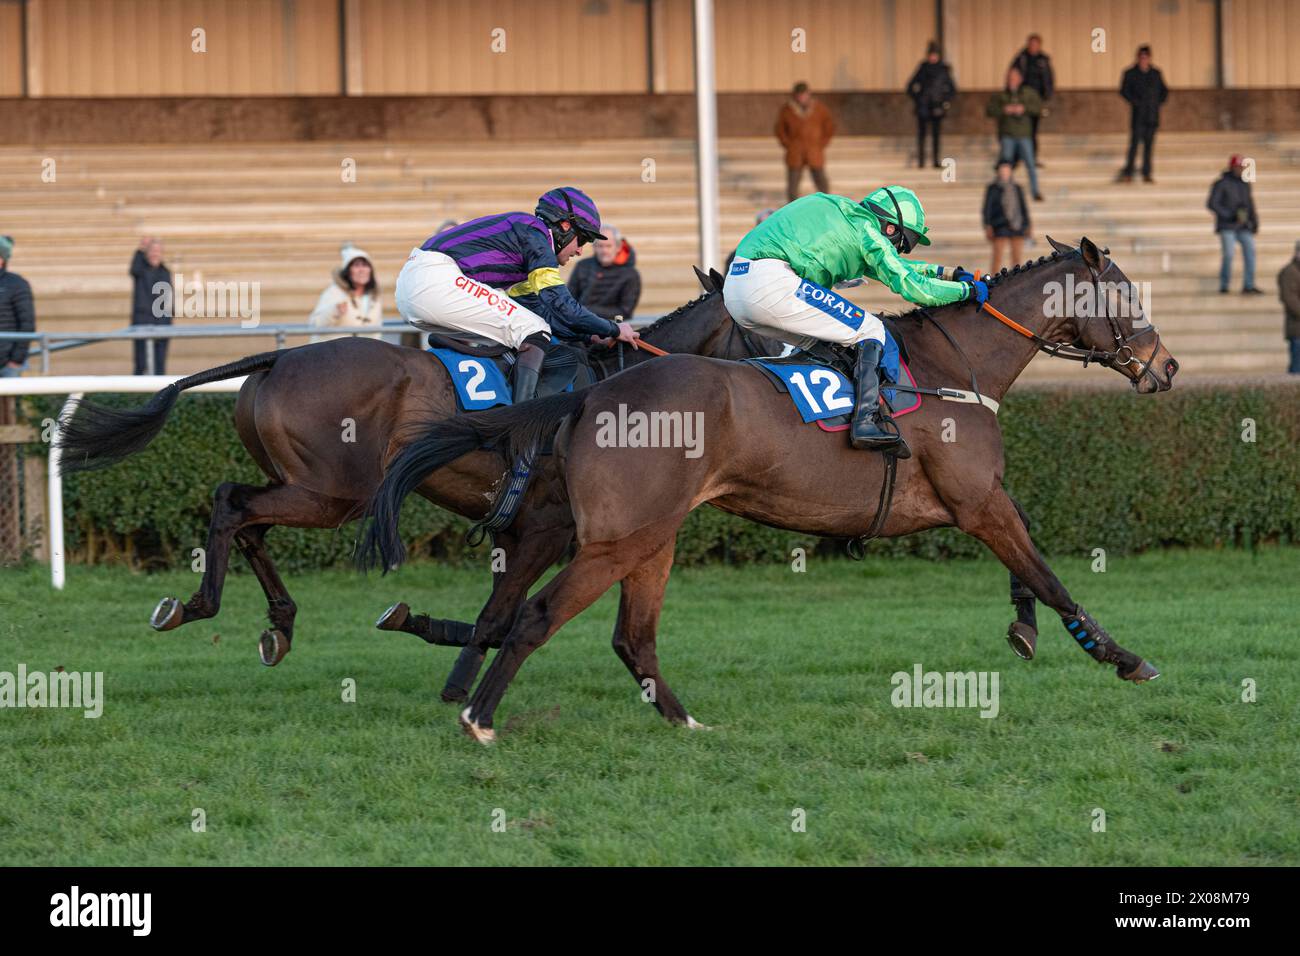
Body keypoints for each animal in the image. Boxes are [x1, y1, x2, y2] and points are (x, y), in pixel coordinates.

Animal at [55, 277, 774, 665]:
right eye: (762, 328)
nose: (782, 382)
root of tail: (277, 358)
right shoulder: (550, 526)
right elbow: (499, 621)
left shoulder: (527, 531)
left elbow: (496, 619)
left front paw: (414, 623)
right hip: (333, 492)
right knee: (234, 504)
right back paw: (199, 605)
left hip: (304, 484)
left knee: (245, 515)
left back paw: (278, 624)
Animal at [361, 235, 1185, 743]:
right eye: (1126, 298)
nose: (1167, 366)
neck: (956, 367)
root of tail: (593, 394)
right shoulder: (976, 501)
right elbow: (1047, 573)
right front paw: (1121, 656)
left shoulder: (975, 502)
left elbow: (1026, 563)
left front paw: (1026, 630)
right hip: (618, 538)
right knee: (535, 617)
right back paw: (479, 716)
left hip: (651, 536)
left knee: (628, 635)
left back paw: (685, 722)